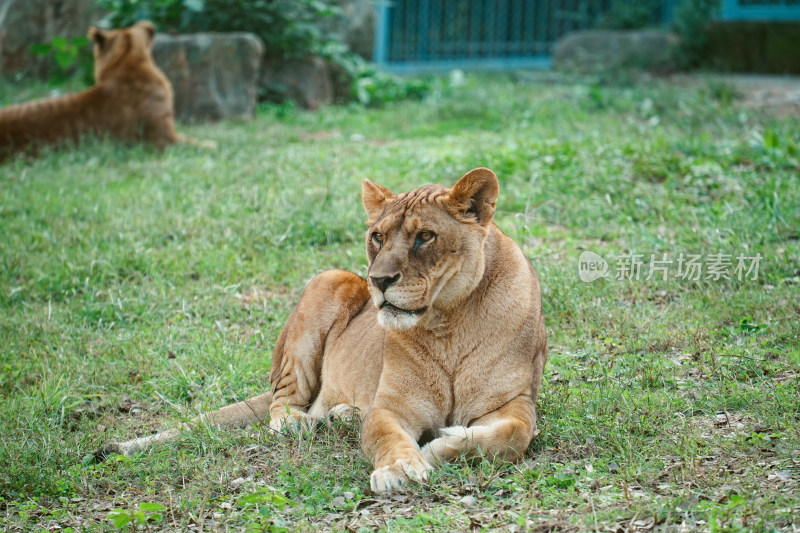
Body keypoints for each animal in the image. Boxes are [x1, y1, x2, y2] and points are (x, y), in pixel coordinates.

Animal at [98, 168, 544, 492]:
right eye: (377, 236)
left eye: (424, 237)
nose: (379, 281)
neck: (447, 323)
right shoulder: (391, 407)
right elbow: (385, 436)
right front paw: (401, 467)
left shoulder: (516, 401)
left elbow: (513, 435)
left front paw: (440, 445)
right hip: (327, 282)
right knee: (283, 404)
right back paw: (303, 423)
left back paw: (340, 417)